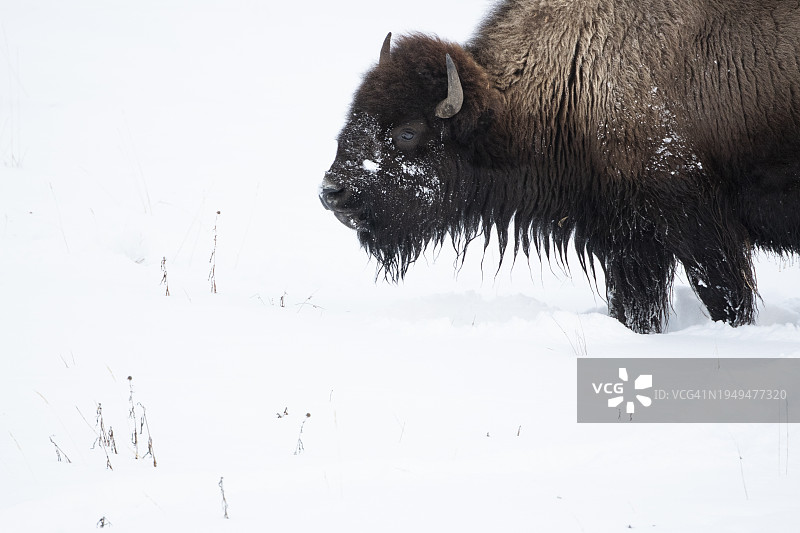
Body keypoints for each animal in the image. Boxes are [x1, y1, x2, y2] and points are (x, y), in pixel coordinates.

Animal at [319, 0, 800, 333]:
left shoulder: (701, 230)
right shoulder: (630, 241)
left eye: (407, 132)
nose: (332, 192)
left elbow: (727, 298)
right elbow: (636, 308)